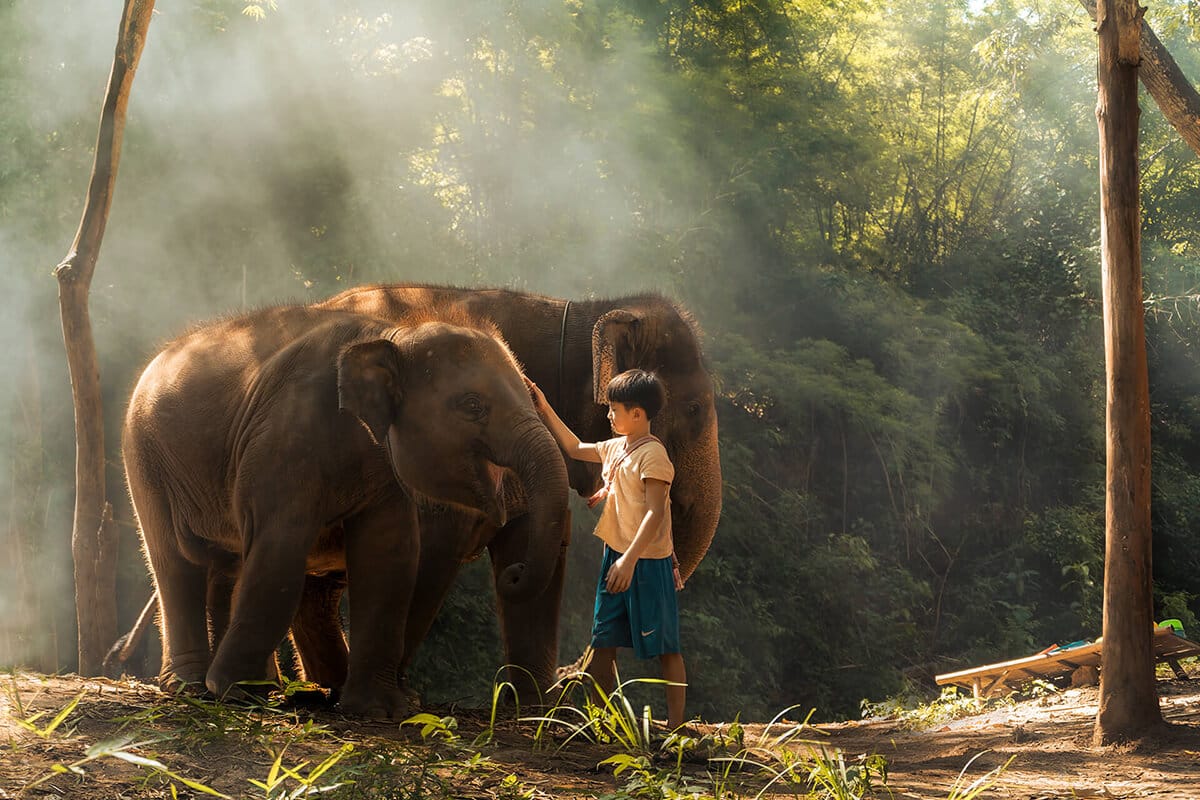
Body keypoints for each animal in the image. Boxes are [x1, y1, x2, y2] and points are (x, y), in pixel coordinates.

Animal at [122, 305, 570, 718]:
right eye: (473, 405)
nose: (514, 573)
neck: (392, 333)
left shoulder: (383, 471)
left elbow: (387, 557)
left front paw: (380, 710)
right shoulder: (283, 440)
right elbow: (279, 550)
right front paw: (233, 691)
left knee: (225, 566)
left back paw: (265, 686)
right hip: (145, 460)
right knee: (176, 563)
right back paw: (195, 685)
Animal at [287, 285, 722, 701]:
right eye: (694, 409)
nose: (569, 677)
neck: (586, 313)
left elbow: (532, 536)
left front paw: (535, 706)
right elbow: (433, 551)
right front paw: (402, 693)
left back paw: (324, 684)